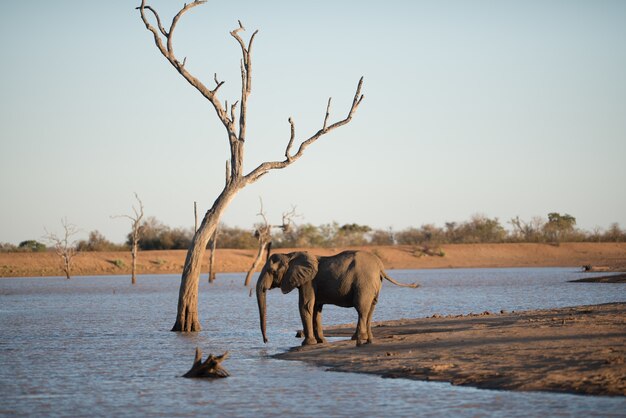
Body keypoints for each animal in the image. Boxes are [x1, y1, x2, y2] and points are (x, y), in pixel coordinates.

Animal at [254, 251, 414, 346]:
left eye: (271, 271)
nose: (266, 341)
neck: (290, 255)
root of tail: (381, 267)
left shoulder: (308, 282)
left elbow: (305, 305)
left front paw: (308, 344)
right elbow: (316, 309)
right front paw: (321, 341)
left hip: (364, 283)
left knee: (361, 309)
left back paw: (358, 340)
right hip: (374, 285)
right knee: (371, 308)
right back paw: (366, 339)